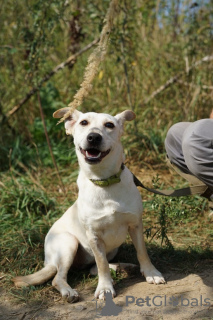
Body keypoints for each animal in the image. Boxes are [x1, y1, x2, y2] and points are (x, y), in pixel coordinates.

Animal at [14, 109, 165, 302]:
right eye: (84, 122)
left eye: (109, 125)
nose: (93, 137)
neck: (104, 181)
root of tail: (49, 262)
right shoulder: (94, 236)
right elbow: (102, 265)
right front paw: (105, 288)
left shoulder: (135, 225)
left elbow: (142, 252)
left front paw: (151, 273)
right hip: (68, 243)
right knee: (60, 277)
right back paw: (69, 292)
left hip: (112, 249)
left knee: (93, 268)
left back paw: (122, 267)